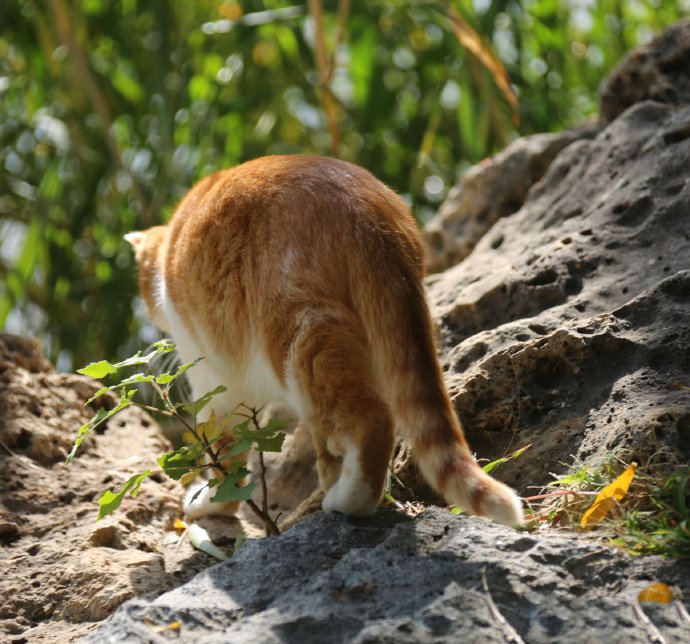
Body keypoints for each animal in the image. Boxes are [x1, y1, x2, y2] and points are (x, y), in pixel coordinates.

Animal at [125, 153, 520, 524]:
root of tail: (367, 211)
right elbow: (316, 452)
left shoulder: (215, 382)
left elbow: (224, 455)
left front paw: (212, 504)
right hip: (383, 338)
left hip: (300, 341)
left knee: (373, 420)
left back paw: (349, 502)